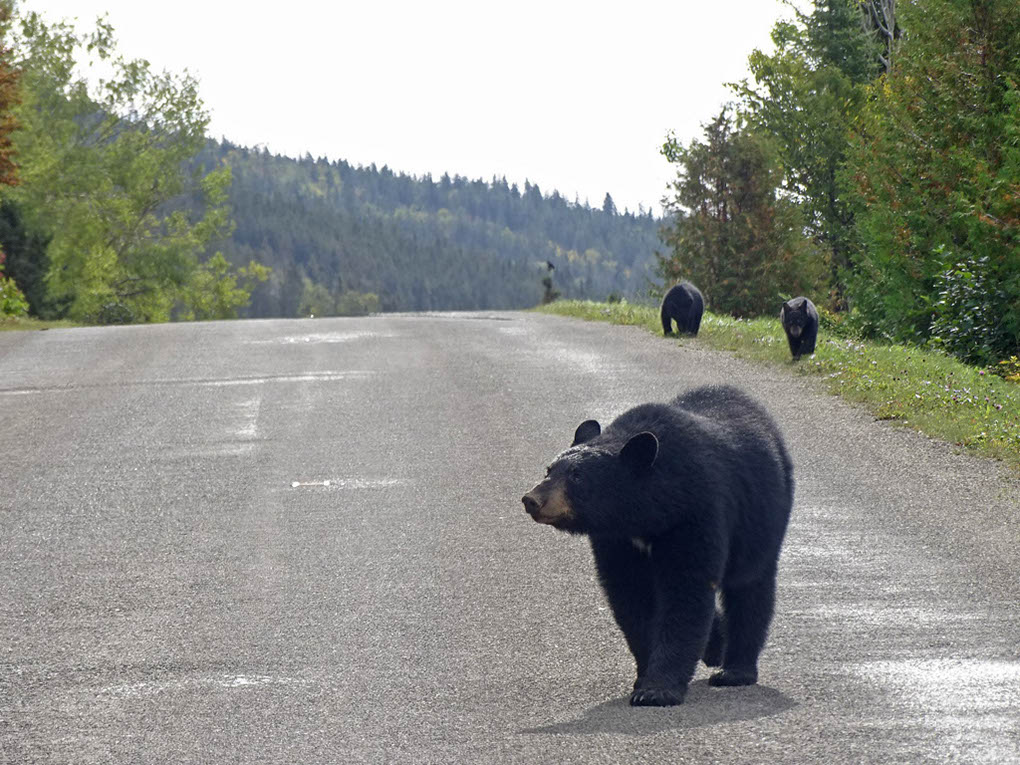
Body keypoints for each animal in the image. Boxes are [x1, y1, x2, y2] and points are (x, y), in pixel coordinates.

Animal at [522, 385, 791, 709]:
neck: (647, 513)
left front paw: (656, 690)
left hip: (761, 520)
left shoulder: (695, 514)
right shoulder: (616, 540)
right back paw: (716, 645)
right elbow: (632, 597)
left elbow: (685, 592)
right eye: (549, 469)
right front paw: (645, 676)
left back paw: (735, 671)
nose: (531, 499)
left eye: (577, 476)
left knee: (751, 589)